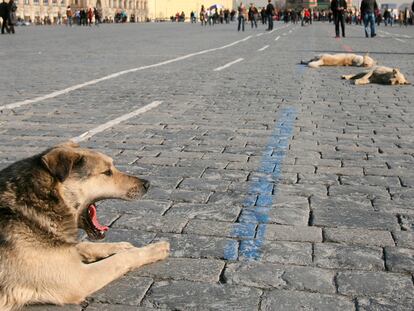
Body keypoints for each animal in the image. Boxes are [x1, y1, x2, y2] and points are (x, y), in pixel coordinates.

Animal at [0, 143, 170, 310]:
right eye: (107, 172)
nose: (147, 184)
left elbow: (85, 245)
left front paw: (121, 246)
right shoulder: (78, 279)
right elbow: (121, 259)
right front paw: (155, 249)